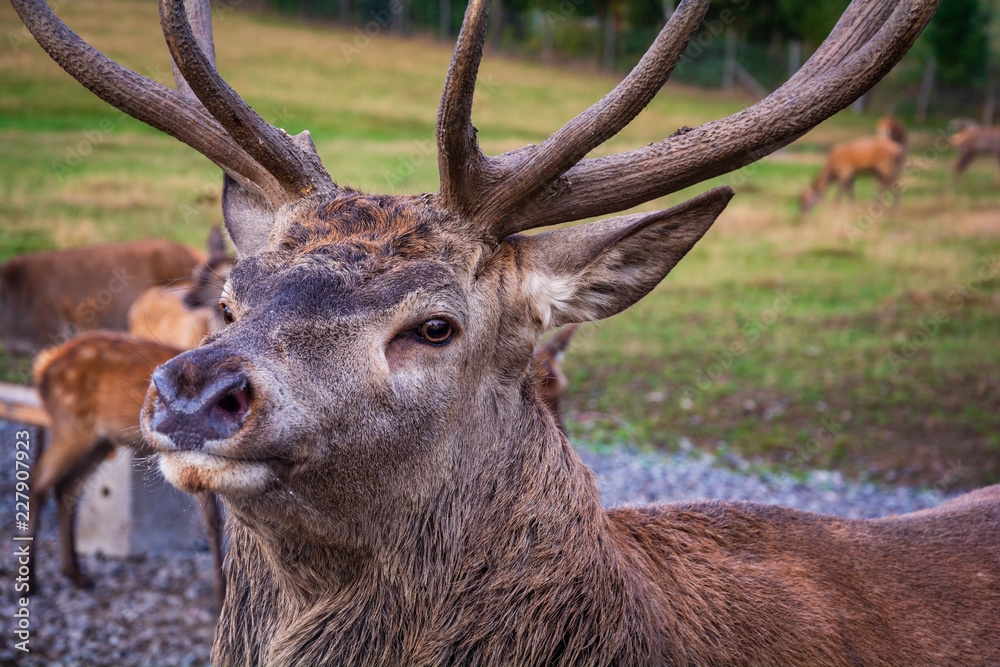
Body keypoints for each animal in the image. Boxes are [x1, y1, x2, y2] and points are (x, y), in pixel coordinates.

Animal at [25, 330, 226, 603]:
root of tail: (41, 368)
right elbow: (214, 521)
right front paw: (221, 594)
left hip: (99, 440)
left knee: (66, 487)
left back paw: (76, 574)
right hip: (71, 426)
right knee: (38, 482)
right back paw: (30, 581)